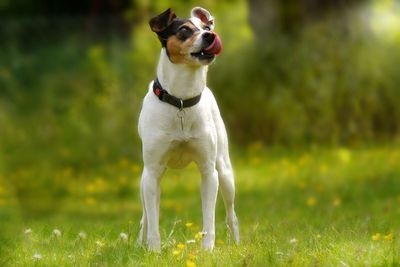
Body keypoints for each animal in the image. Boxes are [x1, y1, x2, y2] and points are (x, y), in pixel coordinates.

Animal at [138, 6, 239, 253]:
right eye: (184, 30)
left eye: (207, 27)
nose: (210, 36)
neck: (181, 101)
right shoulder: (151, 174)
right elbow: (153, 221)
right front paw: (153, 251)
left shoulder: (209, 172)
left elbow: (209, 220)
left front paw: (207, 250)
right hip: (145, 180)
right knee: (145, 216)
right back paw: (139, 242)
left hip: (225, 172)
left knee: (231, 214)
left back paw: (235, 243)